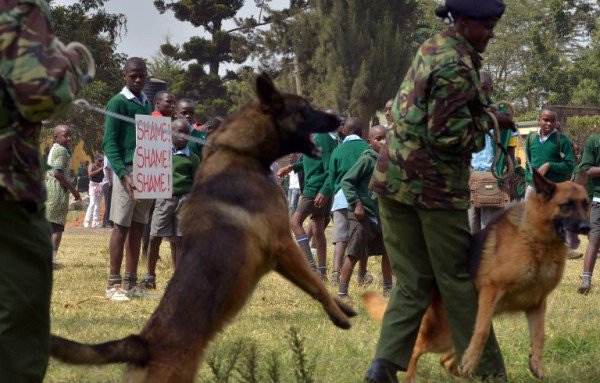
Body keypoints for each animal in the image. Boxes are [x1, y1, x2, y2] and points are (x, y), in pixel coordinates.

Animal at [50, 73, 356, 382]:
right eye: (306, 109)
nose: (339, 118)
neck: (241, 153)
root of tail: (142, 343)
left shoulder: (278, 258)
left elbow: (313, 283)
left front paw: (342, 306)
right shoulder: (284, 243)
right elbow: (316, 283)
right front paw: (338, 313)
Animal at [360, 170, 592, 383]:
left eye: (586, 204)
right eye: (567, 205)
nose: (587, 227)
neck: (536, 239)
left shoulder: (536, 304)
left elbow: (539, 336)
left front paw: (537, 364)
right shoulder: (491, 290)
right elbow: (481, 332)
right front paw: (473, 360)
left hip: (450, 337)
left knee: (446, 360)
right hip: (441, 334)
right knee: (416, 348)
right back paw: (409, 375)